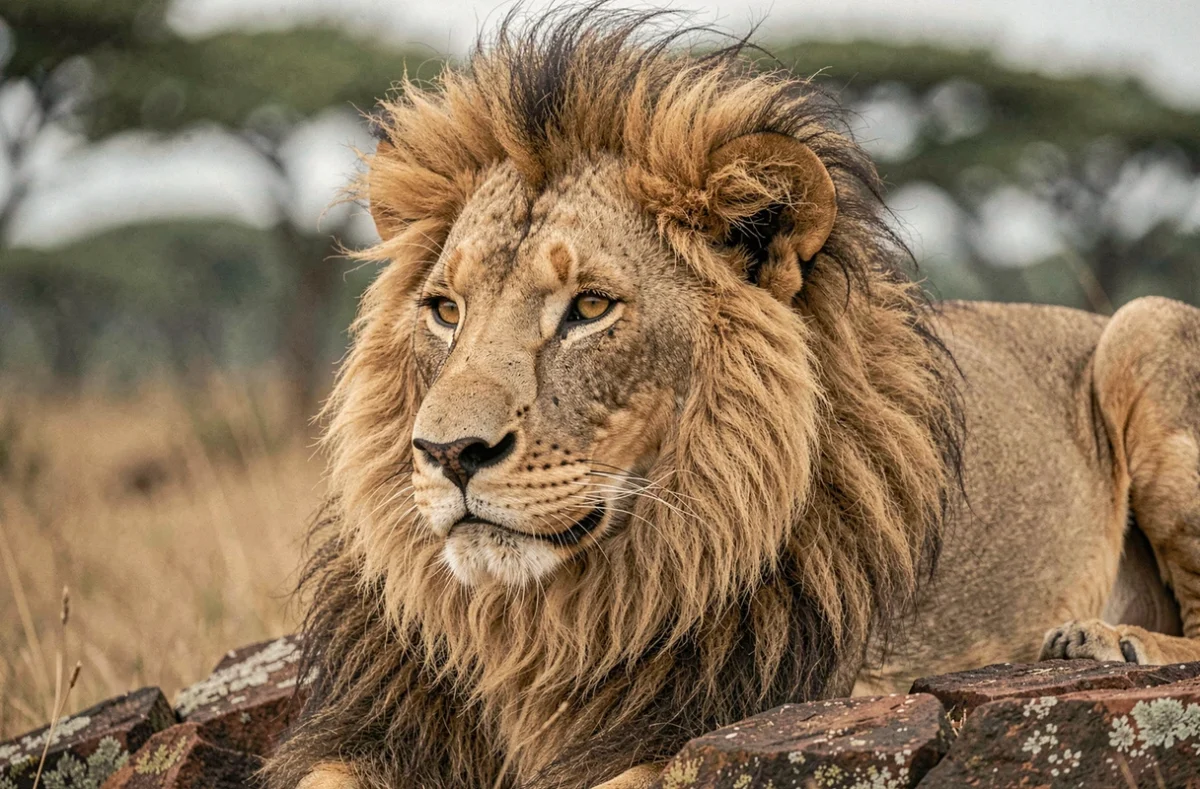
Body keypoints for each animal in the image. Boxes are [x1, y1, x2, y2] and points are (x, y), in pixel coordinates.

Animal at [264, 9, 1200, 789]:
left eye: (590, 307)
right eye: (446, 309)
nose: (447, 454)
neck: (538, 626)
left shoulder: (729, 714)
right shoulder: (384, 719)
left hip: (1143, 327)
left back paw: (1101, 639)